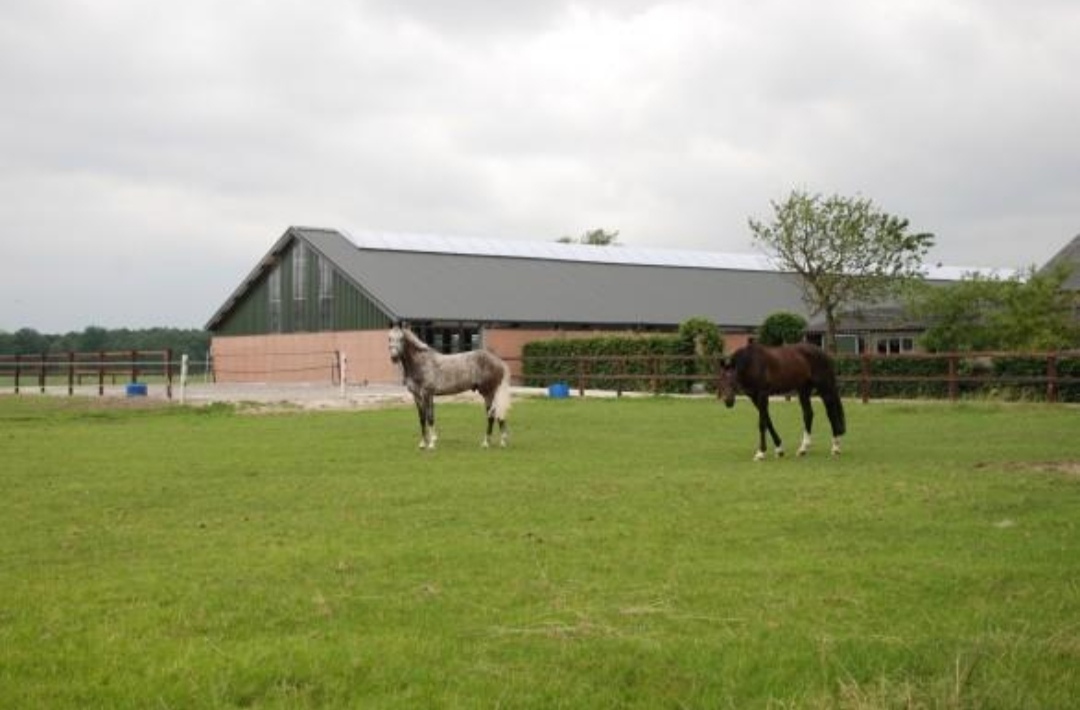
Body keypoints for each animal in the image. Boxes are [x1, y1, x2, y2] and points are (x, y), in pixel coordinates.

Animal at [717, 342, 846, 461]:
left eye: (732, 378)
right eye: (720, 379)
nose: (728, 401)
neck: (752, 364)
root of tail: (823, 353)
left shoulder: (762, 395)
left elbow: (762, 423)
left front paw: (761, 452)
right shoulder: (754, 398)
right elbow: (768, 421)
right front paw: (779, 449)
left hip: (825, 388)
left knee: (831, 413)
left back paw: (835, 448)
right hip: (803, 390)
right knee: (808, 414)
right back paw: (803, 449)